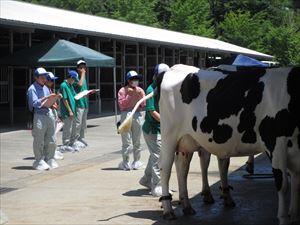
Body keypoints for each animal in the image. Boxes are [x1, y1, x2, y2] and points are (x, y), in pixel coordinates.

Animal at [158, 64, 298, 224]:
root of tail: (173, 68)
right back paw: (168, 210)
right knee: (165, 168)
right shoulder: (275, 144)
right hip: (169, 135)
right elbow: (283, 184)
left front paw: (294, 216)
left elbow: (296, 183)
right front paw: (284, 218)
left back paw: (187, 206)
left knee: (183, 167)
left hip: (187, 140)